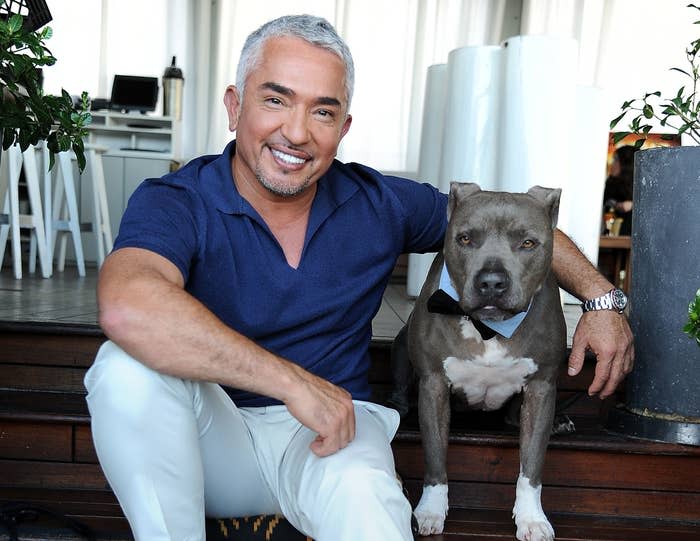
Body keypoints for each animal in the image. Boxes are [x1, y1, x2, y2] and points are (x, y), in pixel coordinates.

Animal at [392, 182, 568, 540]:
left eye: (528, 243)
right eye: (465, 239)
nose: (491, 282)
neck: (488, 329)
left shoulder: (541, 388)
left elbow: (531, 467)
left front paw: (531, 518)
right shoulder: (434, 384)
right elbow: (435, 456)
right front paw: (430, 511)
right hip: (403, 347)